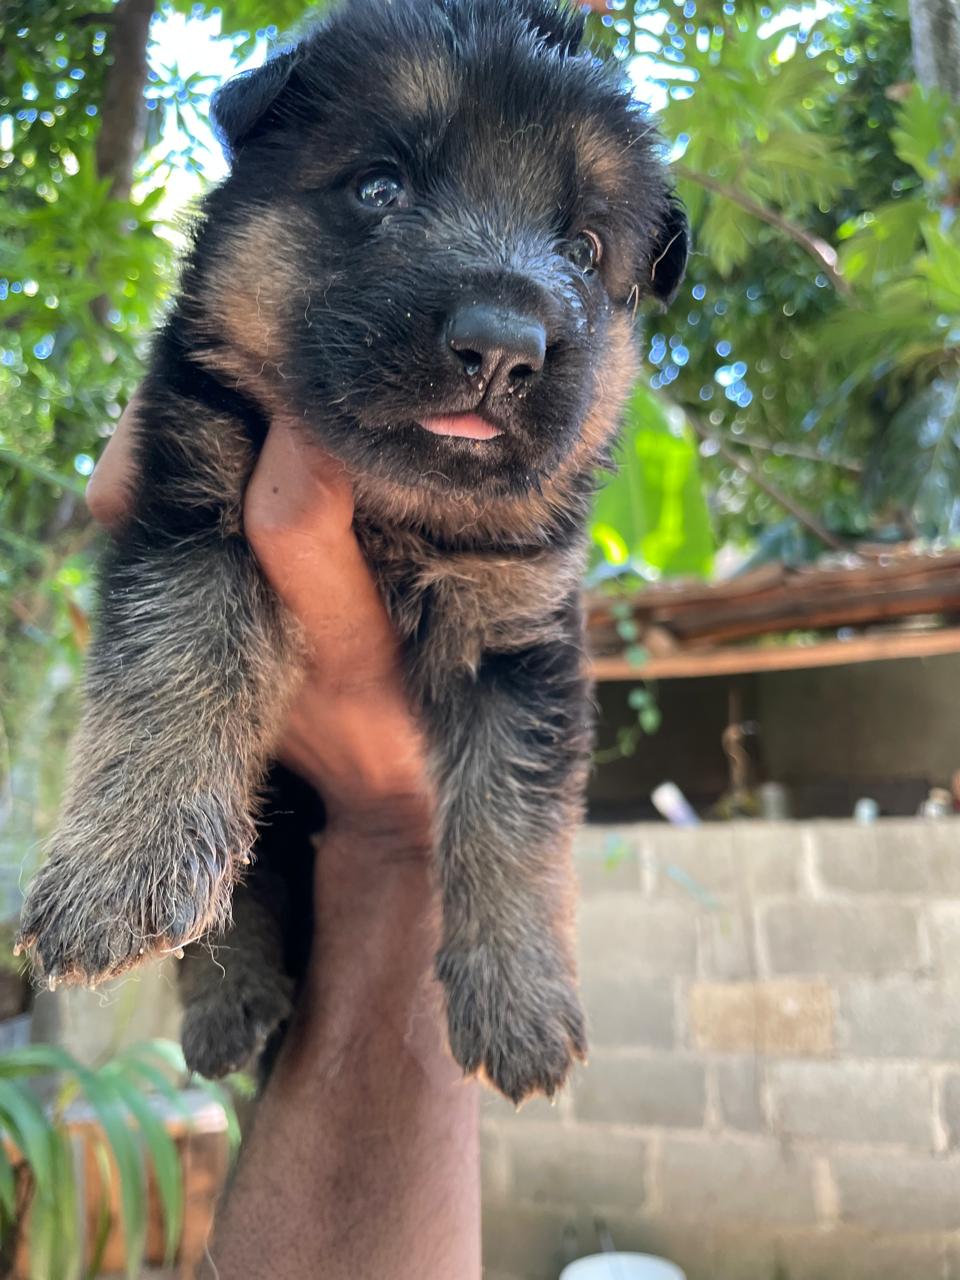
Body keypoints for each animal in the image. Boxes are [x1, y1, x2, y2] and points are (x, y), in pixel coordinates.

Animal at [18, 0, 686, 1105]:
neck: (385, 506)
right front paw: (120, 867)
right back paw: (229, 998)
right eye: (380, 187)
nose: (503, 348)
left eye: (586, 248)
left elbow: (513, 810)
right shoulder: (189, 508)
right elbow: (177, 668)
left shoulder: (519, 630)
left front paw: (521, 994)